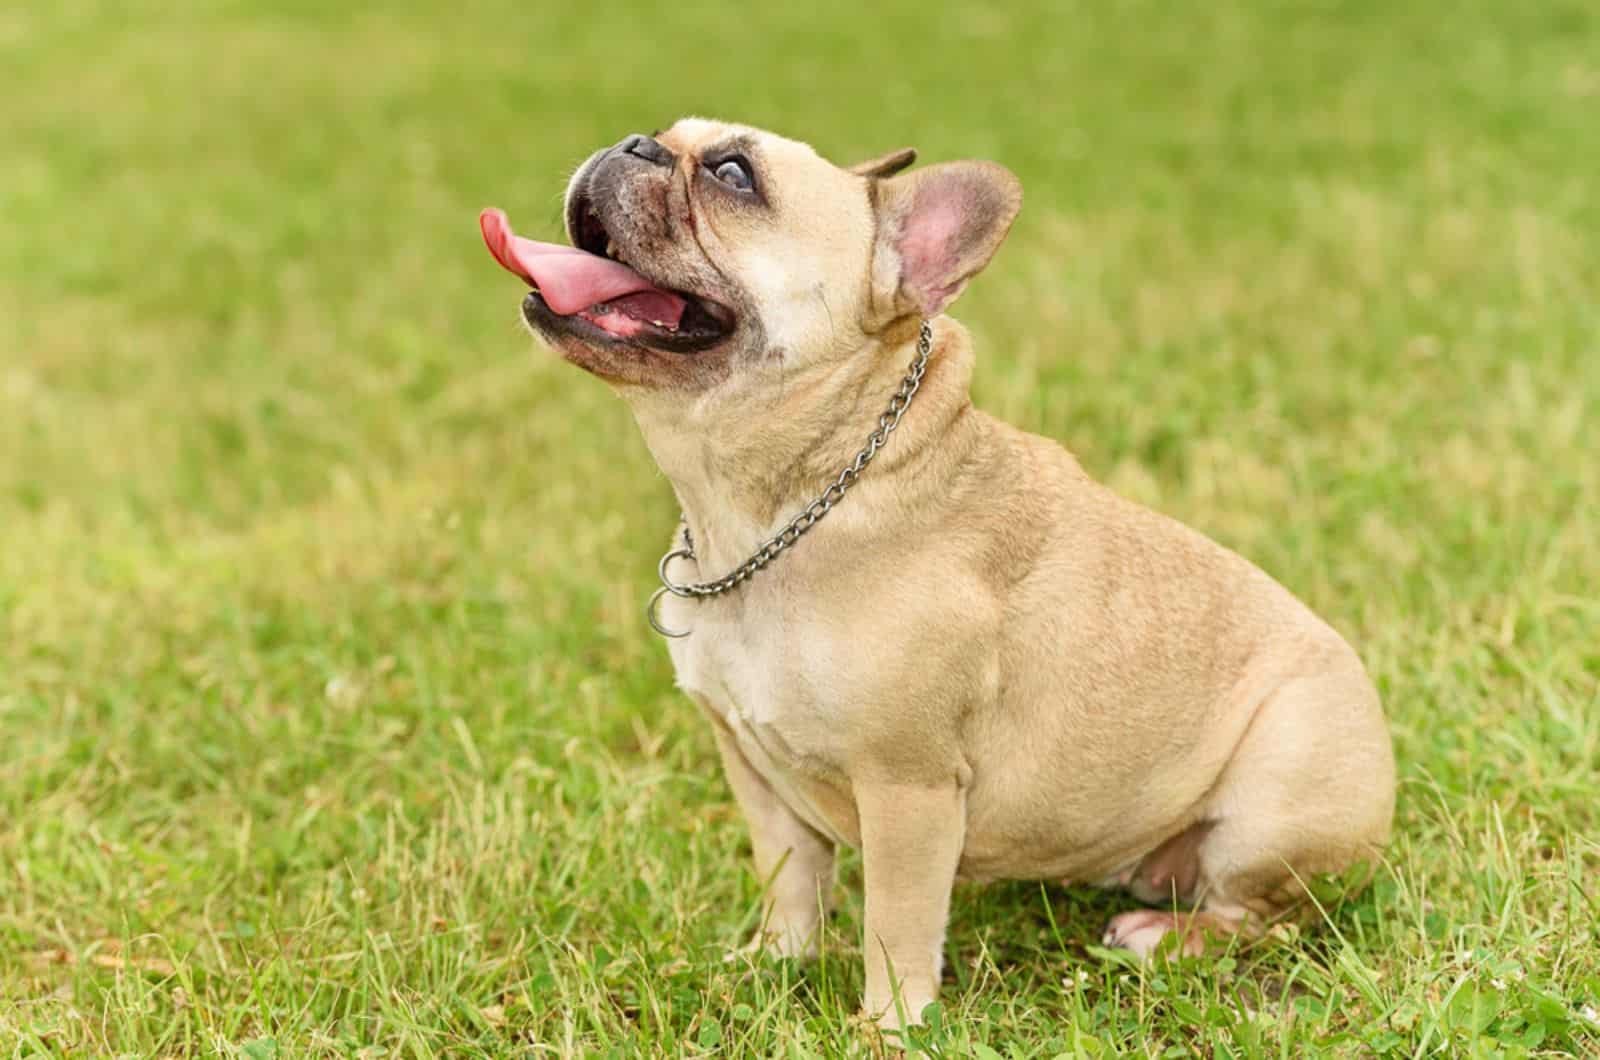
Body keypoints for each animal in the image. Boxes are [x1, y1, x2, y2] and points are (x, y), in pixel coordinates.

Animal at [473, 120, 1388, 1031]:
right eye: (665, 136)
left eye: (734, 175)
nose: (634, 144)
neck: (784, 507)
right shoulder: (752, 767)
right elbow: (790, 876)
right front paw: (772, 964)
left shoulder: (906, 786)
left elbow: (897, 920)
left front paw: (889, 1026)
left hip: (1272, 802)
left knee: (1264, 916)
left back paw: (1169, 936)